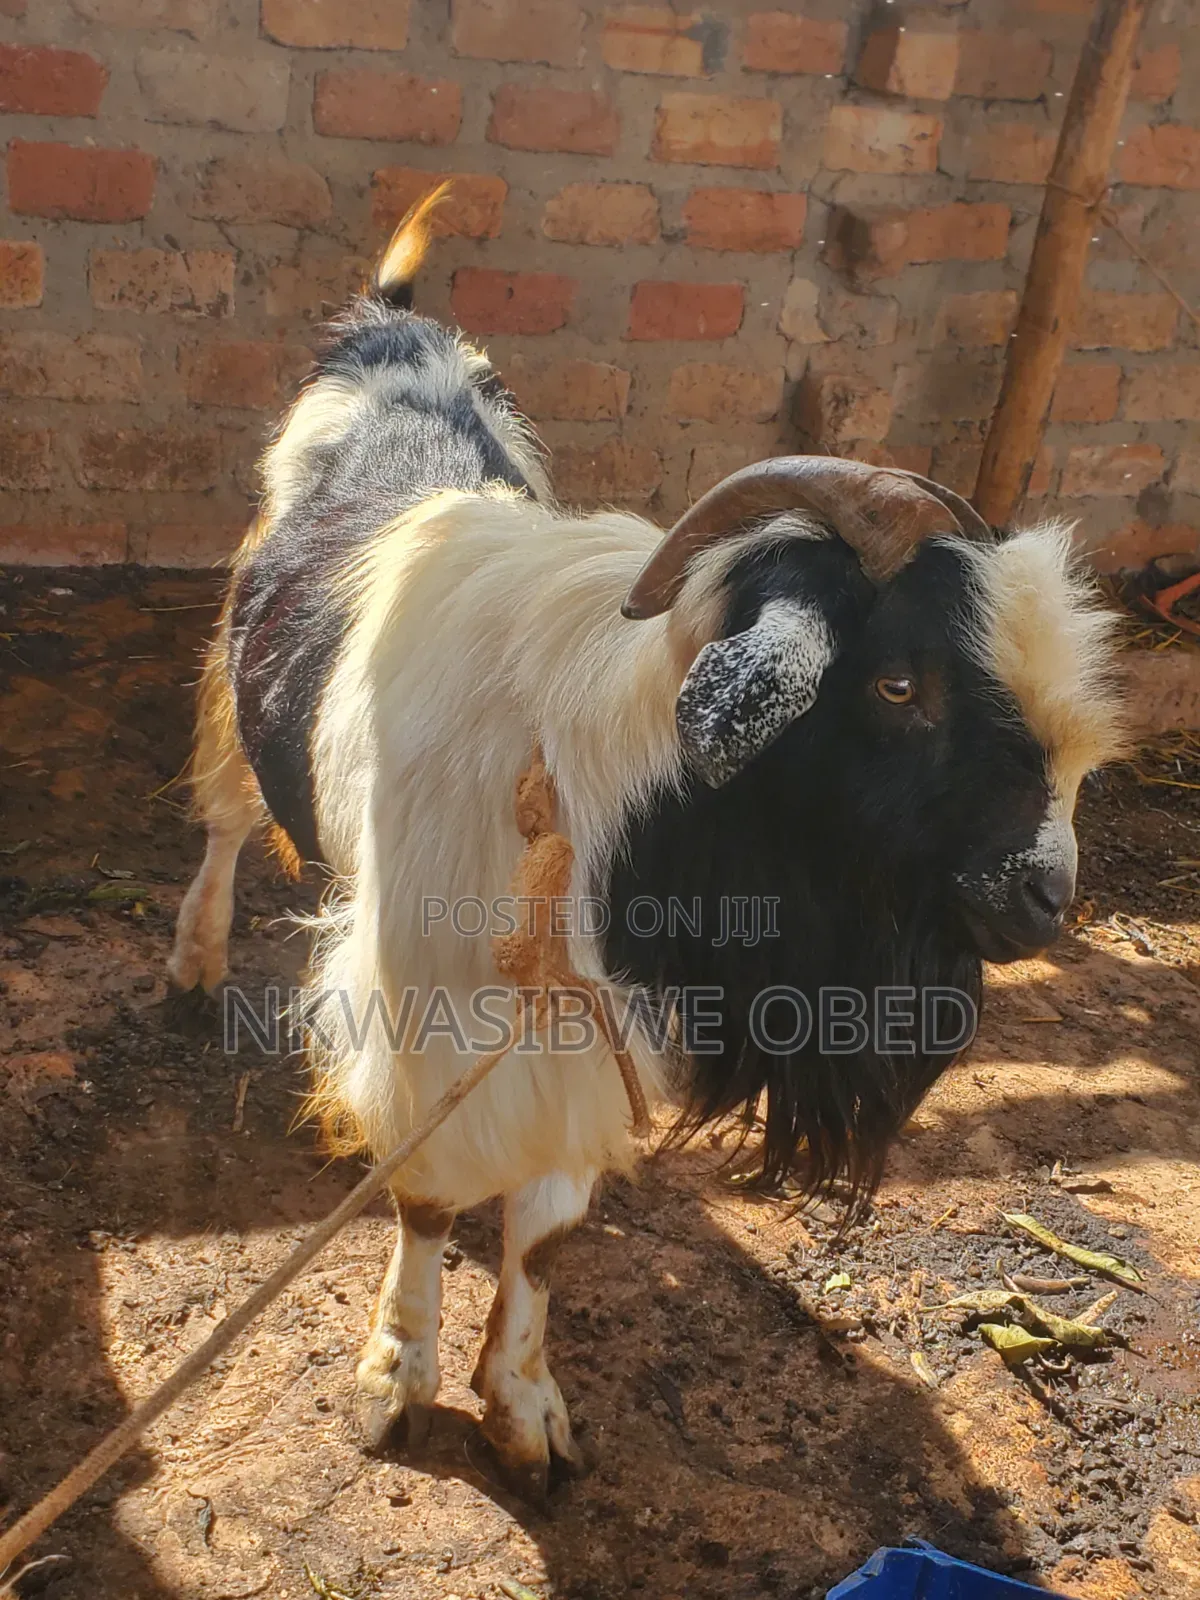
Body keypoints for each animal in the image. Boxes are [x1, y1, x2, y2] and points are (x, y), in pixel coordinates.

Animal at [169, 190, 1124, 1497]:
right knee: (222, 816)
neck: (617, 803)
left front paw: (525, 1407)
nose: (1046, 897)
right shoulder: (426, 1018)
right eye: (899, 684)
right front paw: (394, 1379)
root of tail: (391, 328)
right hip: (234, 672)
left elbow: (545, 1232)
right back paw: (195, 959)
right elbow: (428, 1199)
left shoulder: (591, 1028)